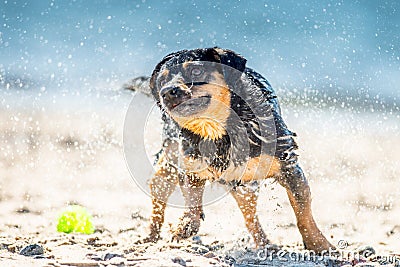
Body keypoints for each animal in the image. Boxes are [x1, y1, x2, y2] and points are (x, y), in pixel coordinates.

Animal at [127, 46, 334, 253]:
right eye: (162, 81)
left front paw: (318, 243)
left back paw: (265, 244)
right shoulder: (189, 167)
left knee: (250, 218)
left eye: (196, 70)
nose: (167, 91)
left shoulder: (289, 168)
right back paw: (148, 238)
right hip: (165, 171)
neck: (216, 129)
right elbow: (192, 199)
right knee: (157, 206)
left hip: (245, 186)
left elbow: (303, 212)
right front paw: (186, 224)